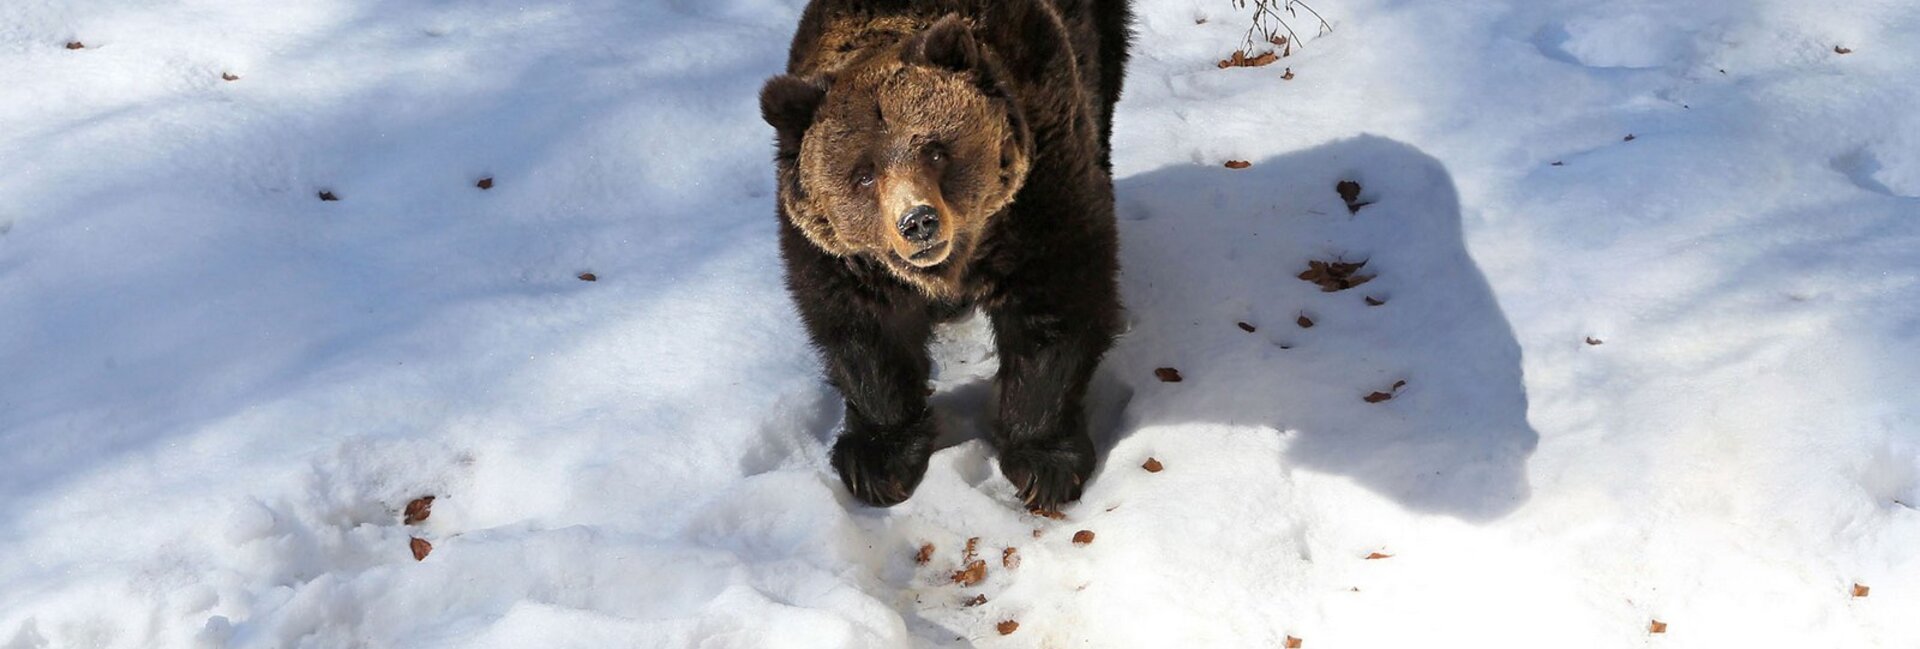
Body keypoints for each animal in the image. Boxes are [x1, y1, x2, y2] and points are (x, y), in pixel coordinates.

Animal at [760, 0, 1121, 506]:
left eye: (935, 150)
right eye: (864, 174)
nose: (918, 222)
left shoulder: (1038, 190)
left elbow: (1053, 304)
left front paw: (1043, 462)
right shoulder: (842, 258)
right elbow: (863, 331)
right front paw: (877, 459)